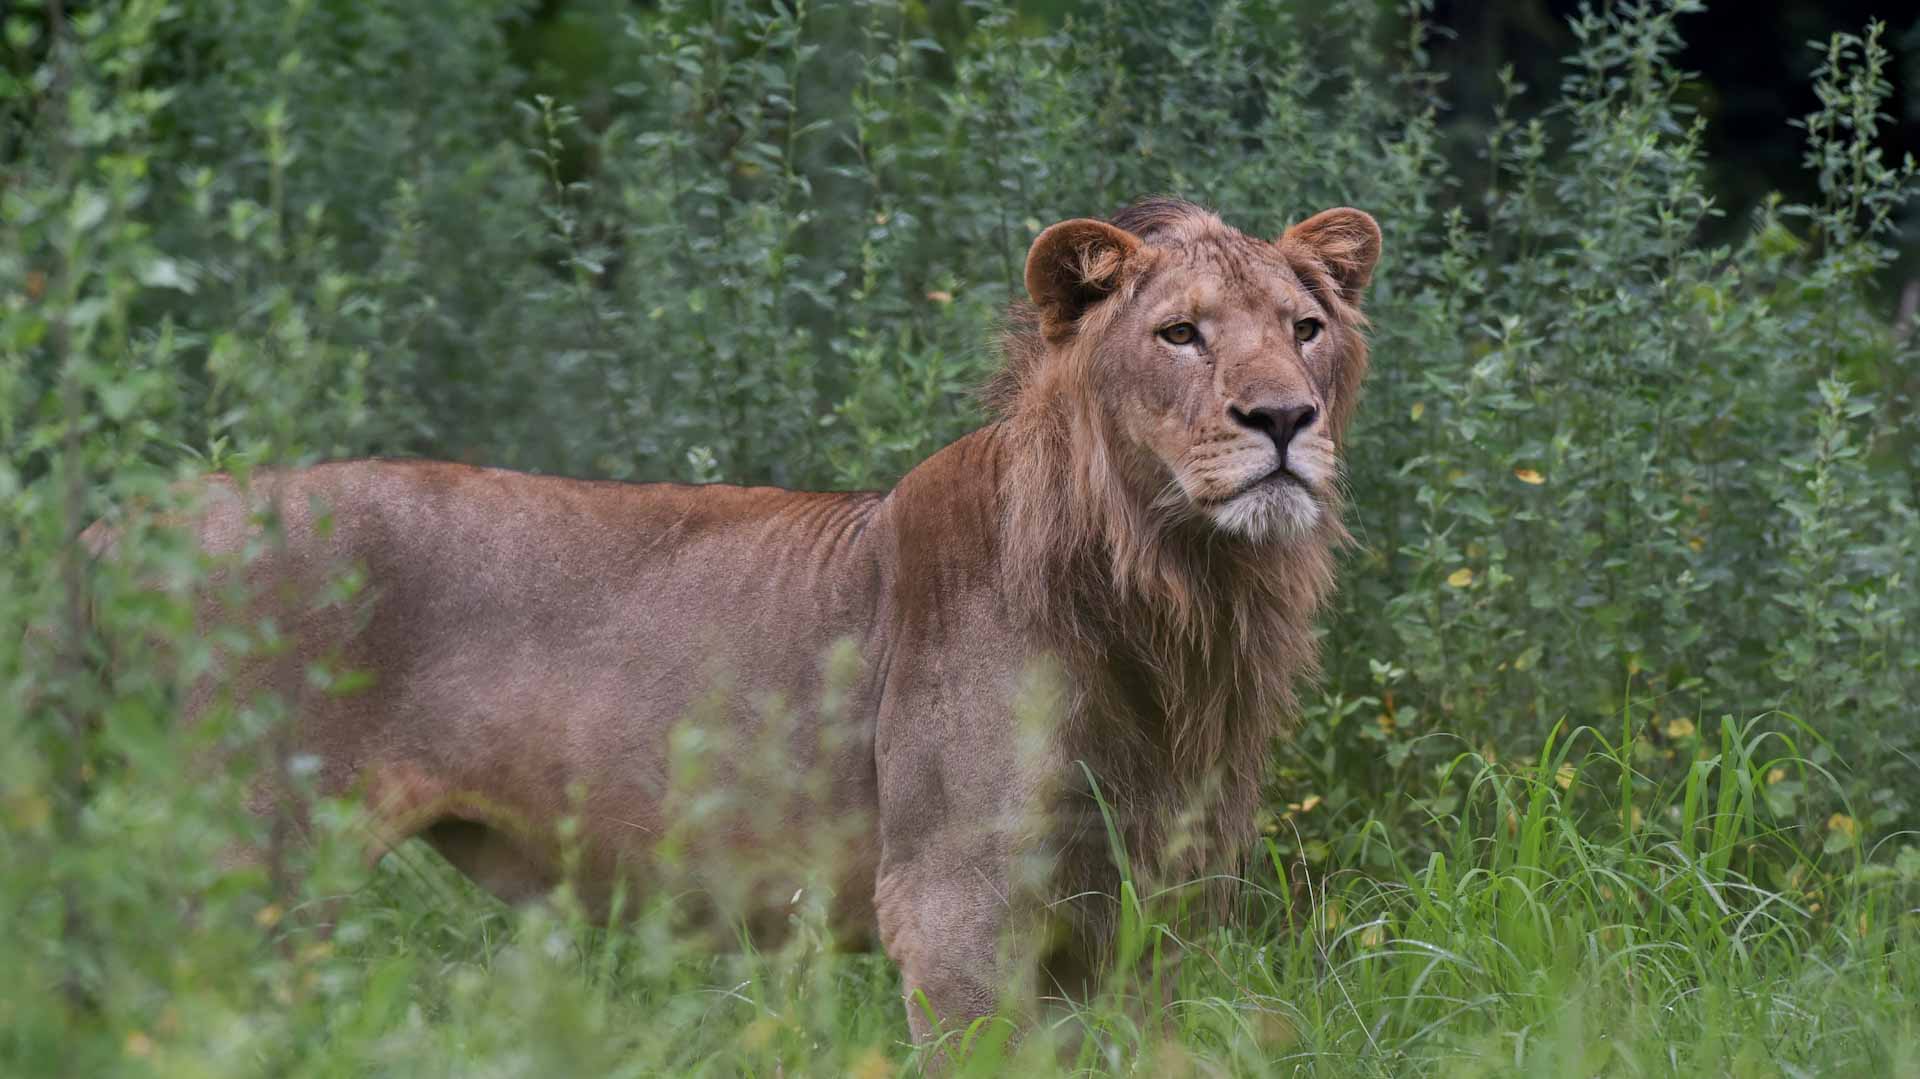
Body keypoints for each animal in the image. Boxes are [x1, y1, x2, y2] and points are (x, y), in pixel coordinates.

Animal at [86, 194, 1382, 1044]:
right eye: (1181, 333)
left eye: (1303, 327)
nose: (1283, 418)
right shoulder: (956, 910)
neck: (1179, 598)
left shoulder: (1154, 917)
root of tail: (144, 515)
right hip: (239, 863)